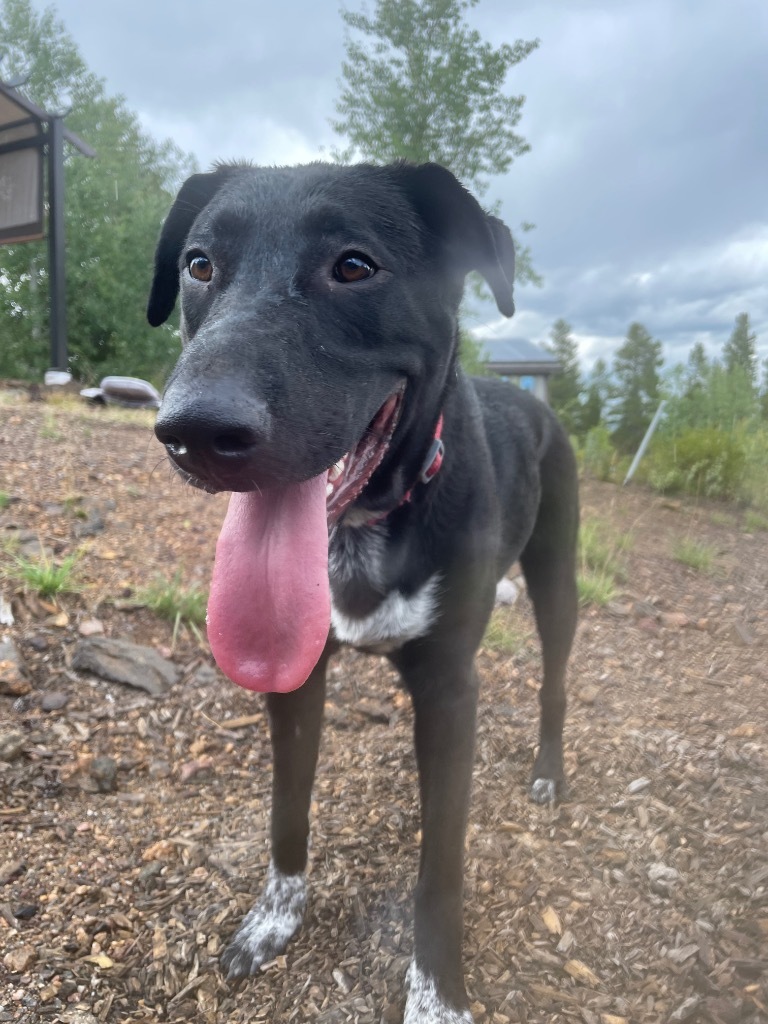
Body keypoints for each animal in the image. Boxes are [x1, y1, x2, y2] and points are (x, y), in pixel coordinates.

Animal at [148, 163, 577, 1019]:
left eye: (353, 266)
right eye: (199, 265)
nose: (196, 433)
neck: (368, 525)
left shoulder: (450, 688)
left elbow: (440, 868)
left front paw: (438, 995)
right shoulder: (295, 679)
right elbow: (287, 811)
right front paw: (274, 919)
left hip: (558, 581)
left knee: (553, 681)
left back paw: (549, 771)